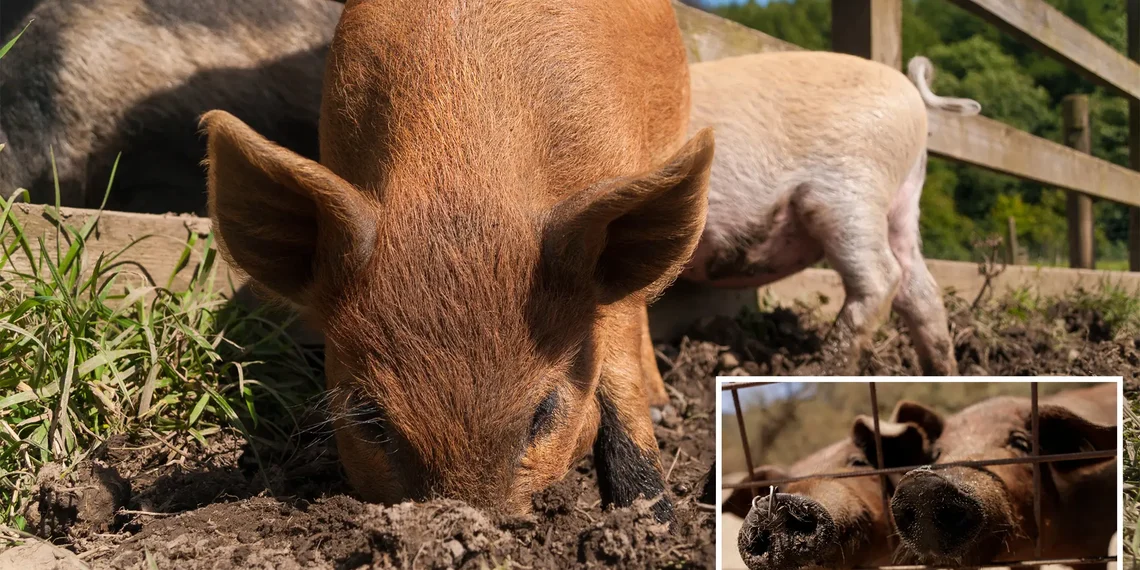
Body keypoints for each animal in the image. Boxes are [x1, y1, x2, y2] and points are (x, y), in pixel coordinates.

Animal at [679, 53, 983, 375]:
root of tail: (912, 93)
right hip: (904, 203)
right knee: (920, 289)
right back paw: (942, 373)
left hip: (851, 191)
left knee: (882, 277)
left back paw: (813, 372)